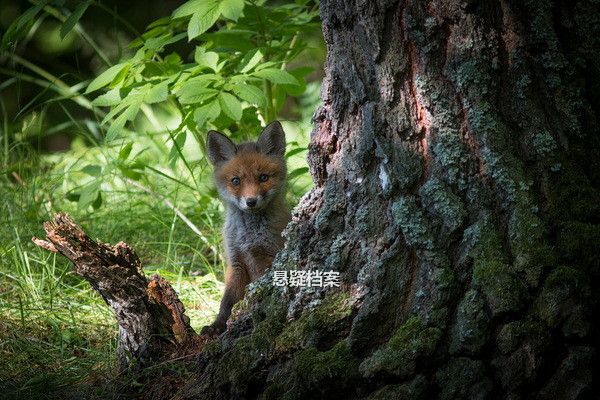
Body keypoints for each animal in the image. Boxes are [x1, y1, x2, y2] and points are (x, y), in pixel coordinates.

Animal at [200, 122, 292, 338]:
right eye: (236, 181)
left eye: (263, 177)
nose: (251, 201)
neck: (248, 236)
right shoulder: (236, 262)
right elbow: (227, 301)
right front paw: (217, 325)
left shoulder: (269, 257)